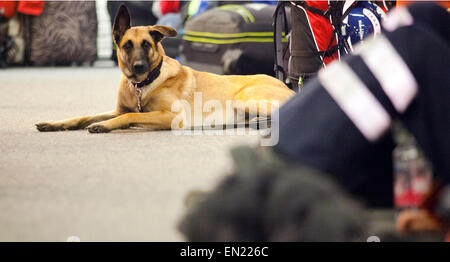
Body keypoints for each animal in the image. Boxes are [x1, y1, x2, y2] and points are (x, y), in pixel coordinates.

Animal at [36, 4, 296, 133]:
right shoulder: (118, 108)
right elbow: (85, 116)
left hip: (245, 98)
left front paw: (105, 126)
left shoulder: (170, 116)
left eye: (146, 44)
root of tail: (288, 86)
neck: (142, 85)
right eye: (127, 45)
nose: (139, 66)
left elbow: (131, 115)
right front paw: (56, 124)